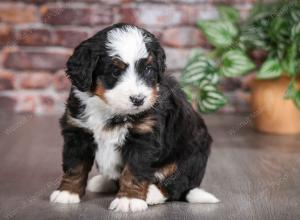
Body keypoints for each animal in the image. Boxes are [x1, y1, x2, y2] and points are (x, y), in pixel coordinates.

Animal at [48, 23, 218, 212]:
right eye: (115, 72)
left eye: (149, 69)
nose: (138, 99)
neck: (109, 109)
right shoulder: (77, 131)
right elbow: (74, 166)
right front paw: (67, 192)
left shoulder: (144, 137)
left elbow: (134, 170)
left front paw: (129, 199)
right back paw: (103, 181)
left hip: (191, 156)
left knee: (178, 183)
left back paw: (153, 194)